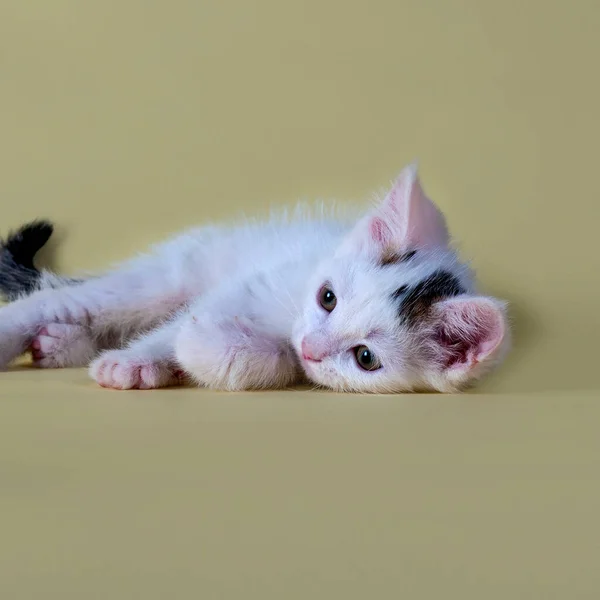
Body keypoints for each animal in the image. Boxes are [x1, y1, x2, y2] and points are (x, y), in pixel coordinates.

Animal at [0, 165, 510, 394]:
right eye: (327, 298)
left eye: (365, 358)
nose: (310, 347)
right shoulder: (257, 284)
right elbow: (184, 325)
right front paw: (139, 359)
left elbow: (229, 353)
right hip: (171, 276)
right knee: (60, 301)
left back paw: (58, 344)